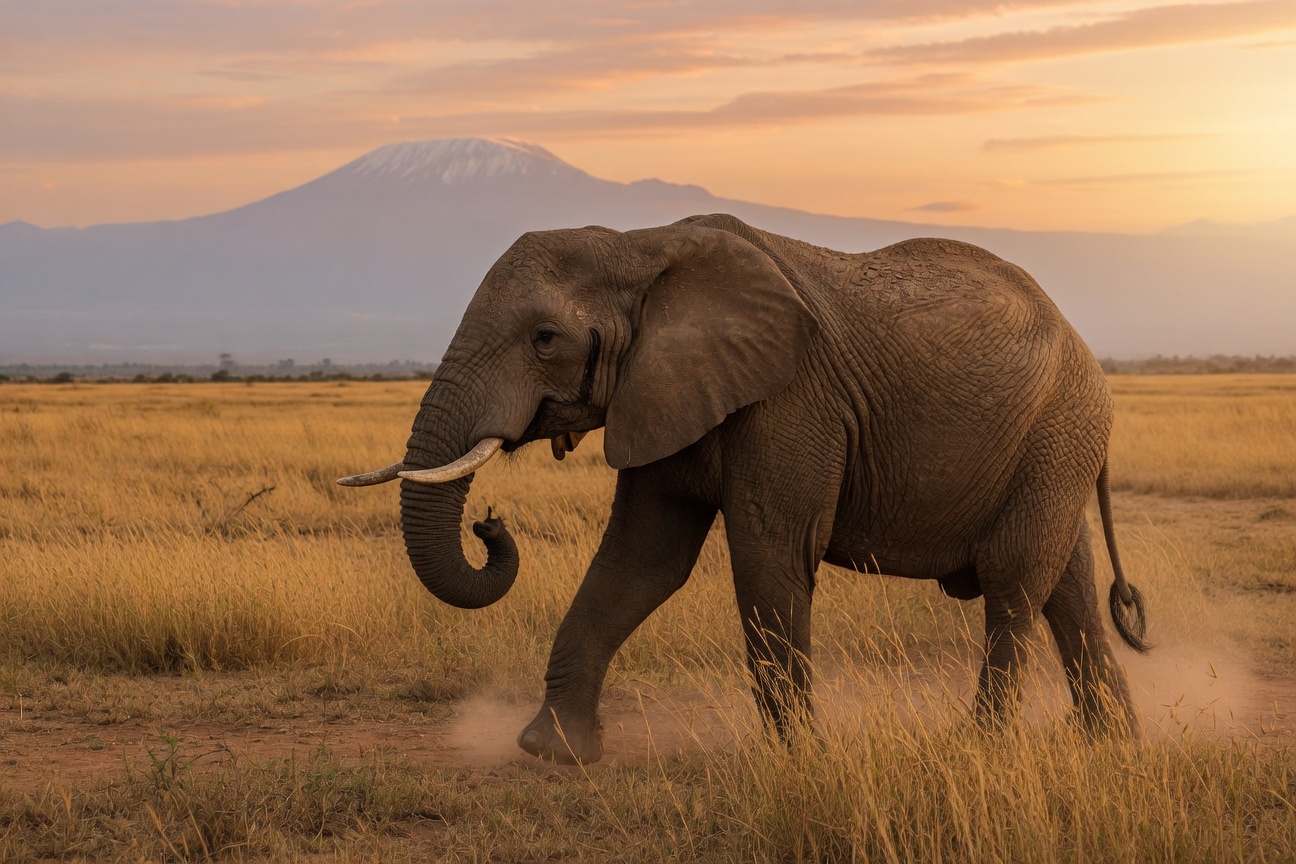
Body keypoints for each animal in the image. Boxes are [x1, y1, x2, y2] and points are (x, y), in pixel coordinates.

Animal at [339, 213, 1150, 764]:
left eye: (544, 338)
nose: (489, 524)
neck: (641, 247)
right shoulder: (663, 389)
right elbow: (641, 560)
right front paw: (552, 752)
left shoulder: (791, 399)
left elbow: (772, 553)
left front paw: (800, 759)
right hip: (1053, 447)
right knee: (1066, 588)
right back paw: (1115, 748)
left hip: (1057, 431)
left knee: (1014, 586)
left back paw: (977, 749)